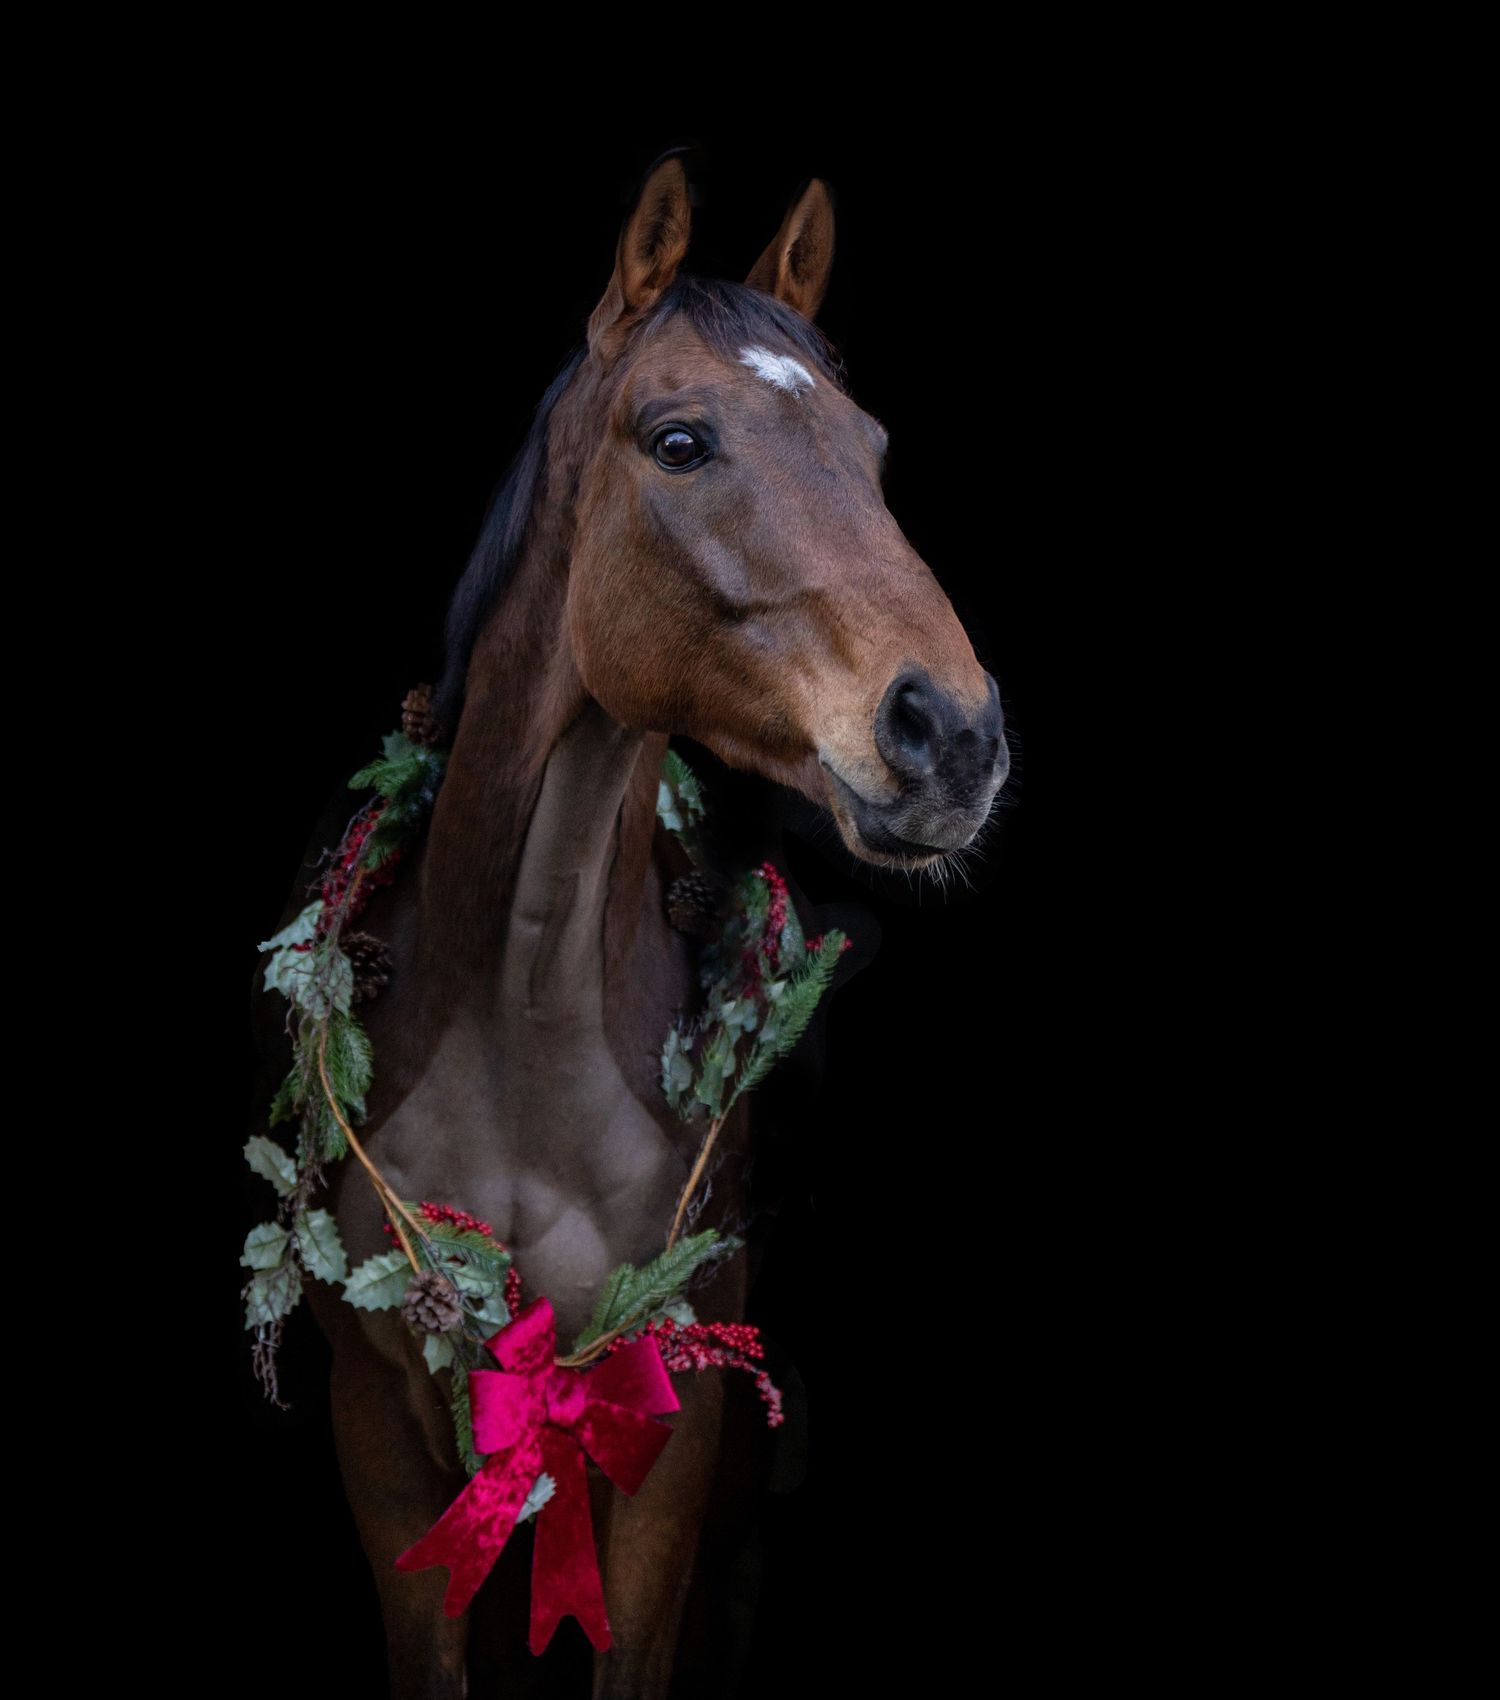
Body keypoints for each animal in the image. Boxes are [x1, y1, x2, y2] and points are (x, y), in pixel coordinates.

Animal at [249, 149, 1010, 1699]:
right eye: (678, 441)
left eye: (873, 449)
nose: (952, 735)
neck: (520, 1018)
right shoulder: (386, 1438)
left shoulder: (673, 1434)